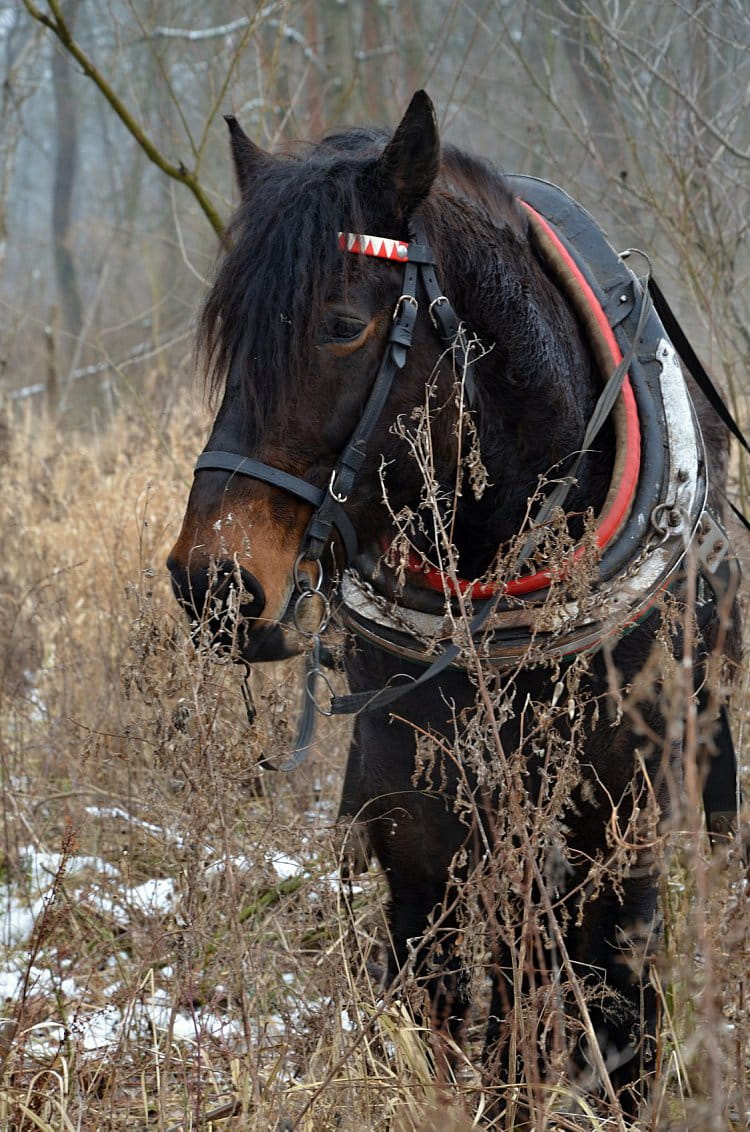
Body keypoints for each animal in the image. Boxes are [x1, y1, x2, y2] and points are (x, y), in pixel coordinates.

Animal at [168, 90, 737, 1122]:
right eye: (230, 334)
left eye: (342, 324)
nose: (212, 584)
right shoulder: (419, 834)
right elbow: (455, 1014)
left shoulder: (617, 829)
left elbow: (606, 1018)